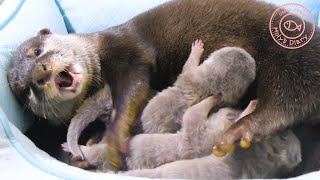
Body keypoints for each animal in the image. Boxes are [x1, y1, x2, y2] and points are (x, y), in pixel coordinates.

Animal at [6, 0, 320, 170]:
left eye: (36, 51)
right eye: (25, 90)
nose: (39, 75)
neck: (102, 48)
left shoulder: (127, 51)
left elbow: (132, 90)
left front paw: (114, 141)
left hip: (290, 60)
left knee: (287, 101)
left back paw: (240, 130)